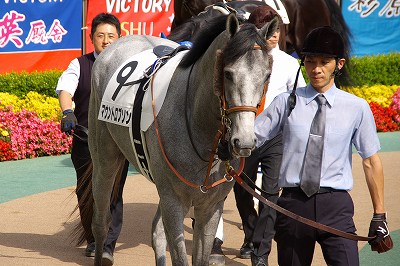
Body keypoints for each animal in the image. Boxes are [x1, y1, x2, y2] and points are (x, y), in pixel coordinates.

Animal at [88, 13, 278, 264]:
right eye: (228, 73)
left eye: (267, 75)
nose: (244, 141)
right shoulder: (174, 201)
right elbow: (180, 257)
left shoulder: (211, 205)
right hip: (105, 159)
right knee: (101, 222)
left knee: (156, 232)